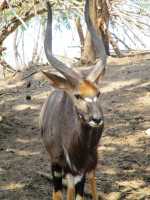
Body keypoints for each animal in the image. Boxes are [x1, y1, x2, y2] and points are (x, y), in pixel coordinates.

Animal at [40, 0, 106, 199]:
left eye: (98, 93)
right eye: (77, 95)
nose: (97, 119)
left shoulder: (80, 170)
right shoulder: (57, 164)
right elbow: (58, 193)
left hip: (89, 164)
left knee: (91, 179)